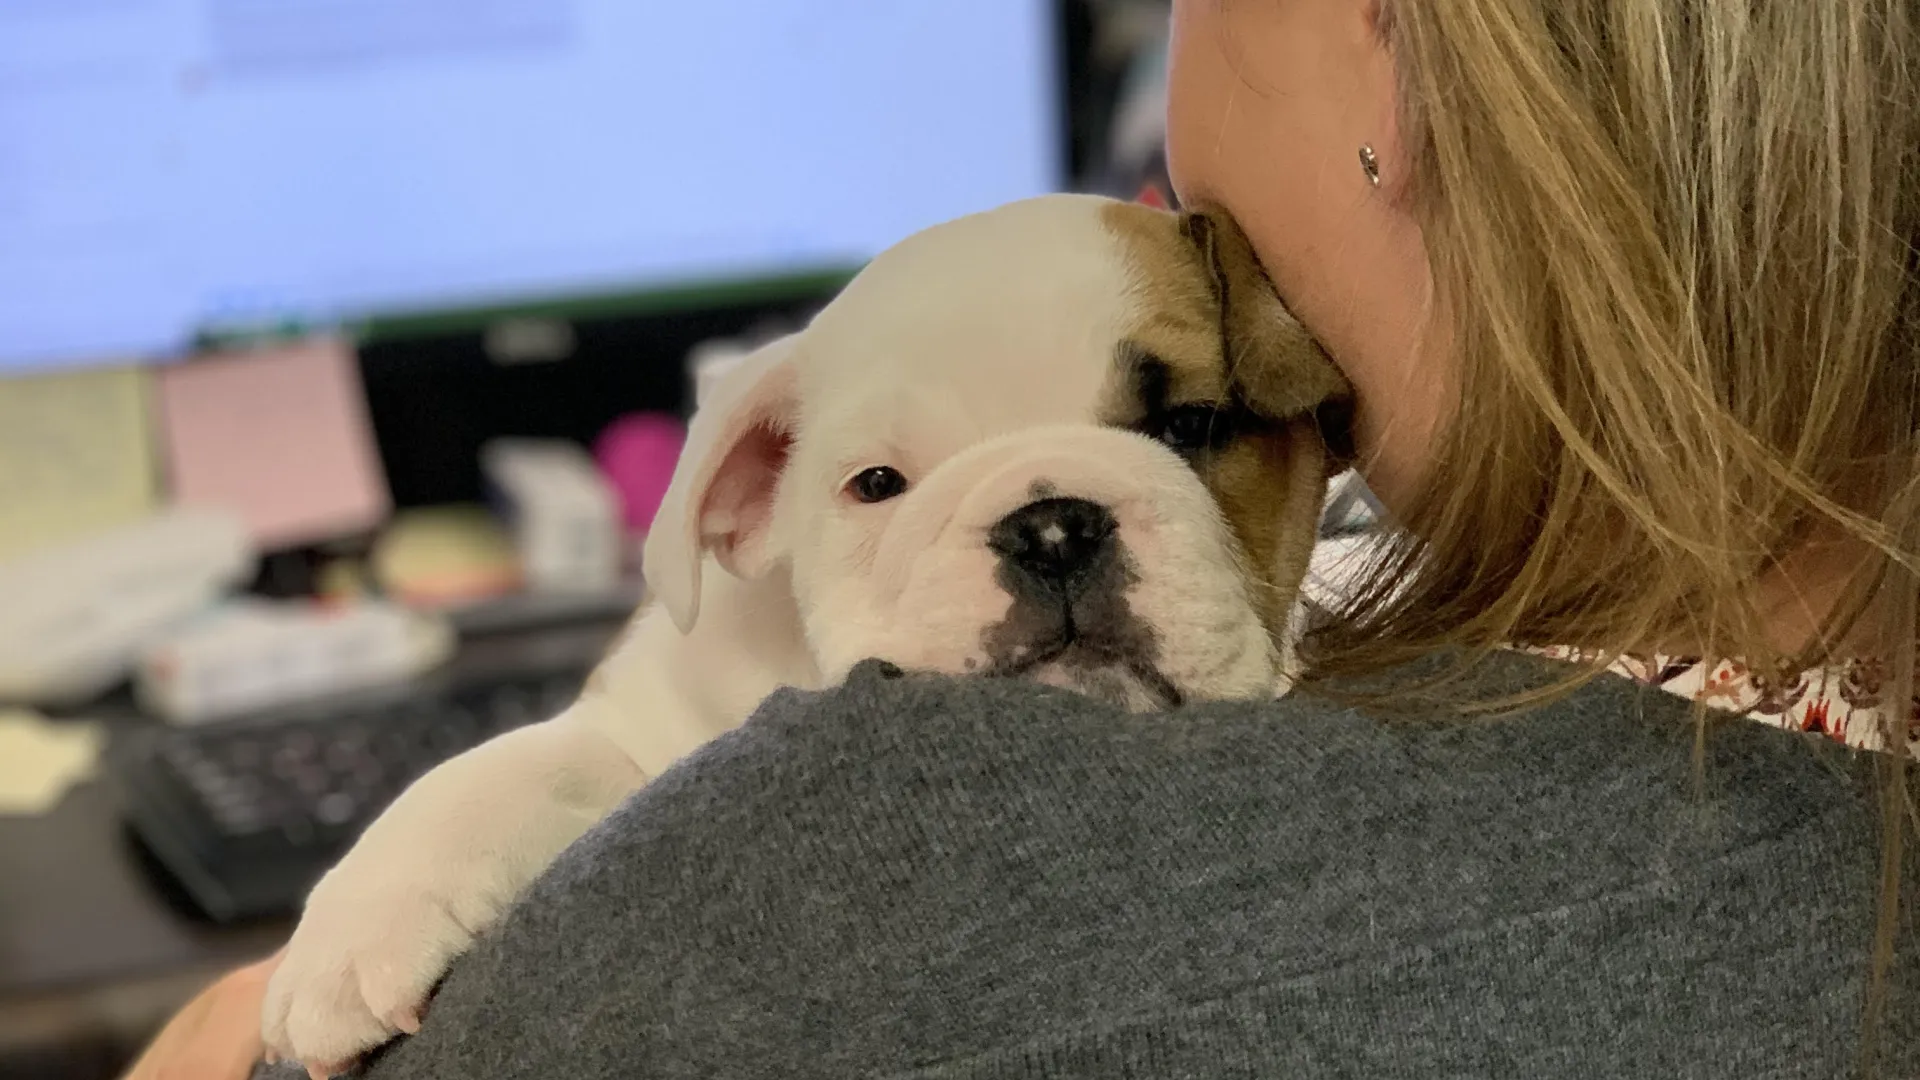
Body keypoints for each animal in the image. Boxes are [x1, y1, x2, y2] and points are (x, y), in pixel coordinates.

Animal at [259, 191, 1351, 1068]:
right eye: (876, 484)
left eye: (1192, 427)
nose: (1051, 525)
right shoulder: (638, 729)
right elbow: (496, 769)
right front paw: (353, 928)